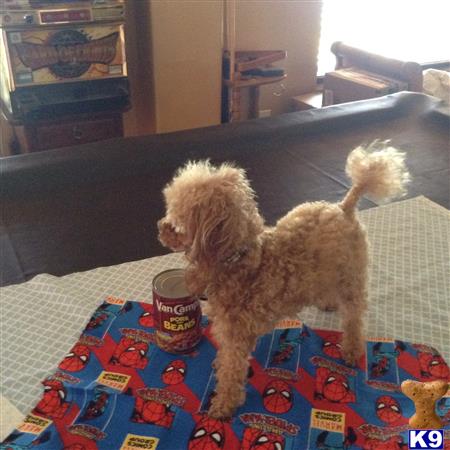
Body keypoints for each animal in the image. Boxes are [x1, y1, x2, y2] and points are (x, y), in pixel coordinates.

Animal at [158, 143, 412, 418]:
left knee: (354, 317)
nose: (160, 227)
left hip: (351, 276)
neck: (241, 260)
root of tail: (344, 207)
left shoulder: (236, 339)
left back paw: (352, 350)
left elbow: (231, 373)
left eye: (176, 222)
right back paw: (327, 302)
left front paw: (223, 406)